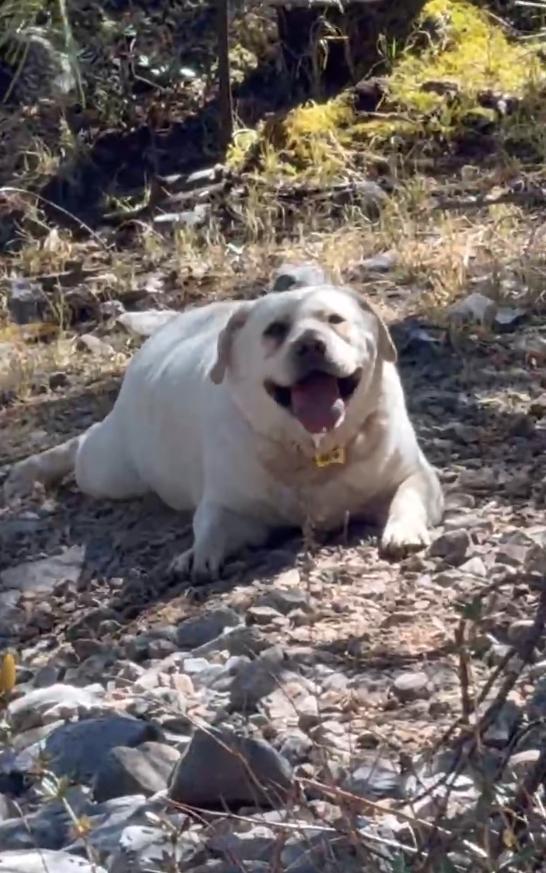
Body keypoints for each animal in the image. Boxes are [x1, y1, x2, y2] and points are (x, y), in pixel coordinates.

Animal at [4, 282, 442, 580]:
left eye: (335, 320)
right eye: (274, 330)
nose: (311, 344)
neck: (312, 450)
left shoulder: (418, 476)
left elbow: (407, 495)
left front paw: (402, 532)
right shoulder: (232, 509)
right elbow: (210, 525)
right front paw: (197, 555)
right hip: (109, 469)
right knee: (83, 444)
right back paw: (29, 471)